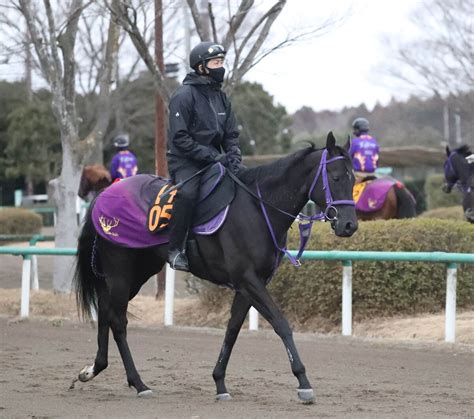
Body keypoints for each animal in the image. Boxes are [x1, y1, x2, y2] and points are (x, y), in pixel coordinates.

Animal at [73, 133, 356, 406]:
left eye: (353, 179)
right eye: (335, 177)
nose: (349, 225)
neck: (258, 208)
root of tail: (104, 195)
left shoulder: (250, 284)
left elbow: (232, 330)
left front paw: (220, 382)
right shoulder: (248, 280)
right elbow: (281, 324)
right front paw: (304, 383)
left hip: (140, 271)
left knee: (106, 310)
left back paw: (94, 369)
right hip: (120, 271)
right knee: (118, 321)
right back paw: (139, 383)